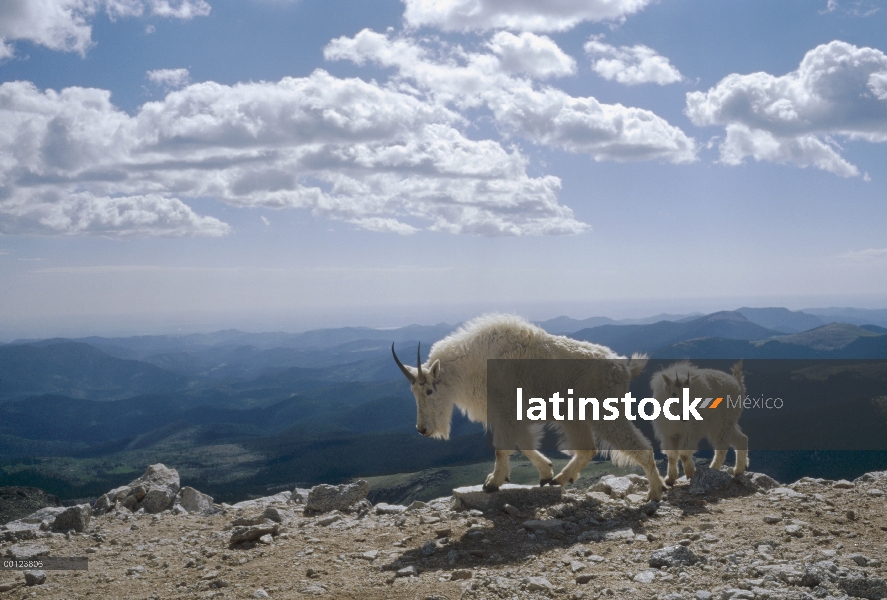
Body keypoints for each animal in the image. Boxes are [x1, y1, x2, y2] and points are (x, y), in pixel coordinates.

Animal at [390, 314, 664, 502]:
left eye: (429, 391)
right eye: (414, 393)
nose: (422, 429)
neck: (474, 364)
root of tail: (623, 367)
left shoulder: (505, 410)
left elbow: (503, 448)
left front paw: (492, 483)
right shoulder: (512, 414)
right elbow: (524, 443)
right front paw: (545, 473)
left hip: (604, 411)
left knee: (641, 447)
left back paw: (655, 492)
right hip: (573, 415)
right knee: (588, 448)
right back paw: (560, 479)